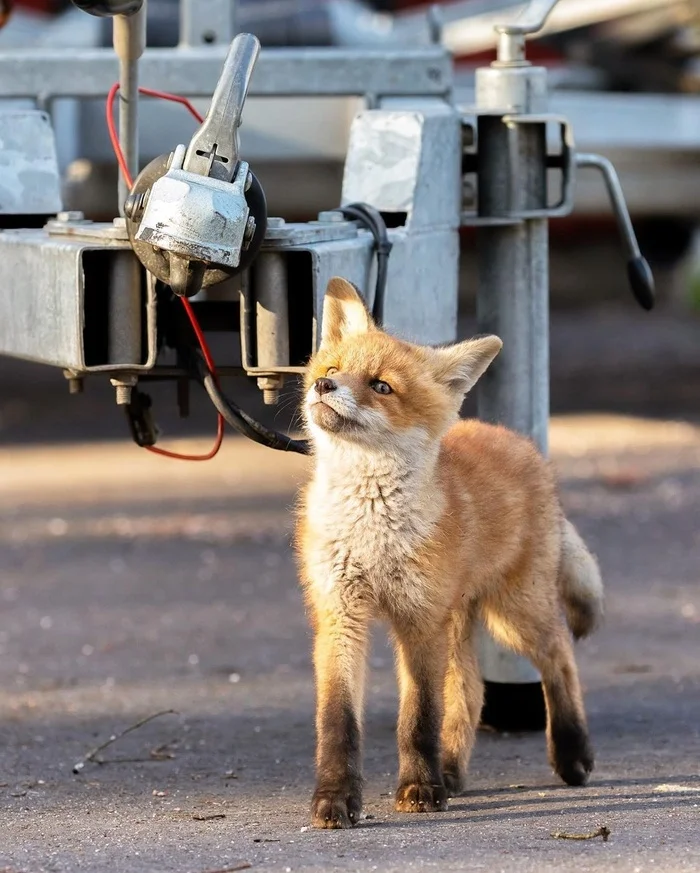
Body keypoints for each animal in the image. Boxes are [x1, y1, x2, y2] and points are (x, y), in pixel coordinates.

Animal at [292, 280, 604, 832]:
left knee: (560, 658)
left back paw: (570, 753)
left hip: (513, 615)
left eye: (381, 387)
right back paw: (452, 771)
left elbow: (418, 717)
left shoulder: (418, 621)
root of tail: (522, 443)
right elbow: (338, 722)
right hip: (457, 623)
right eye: (331, 369)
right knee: (470, 692)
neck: (372, 530)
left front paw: (419, 789)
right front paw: (334, 799)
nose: (324, 387)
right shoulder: (341, 616)